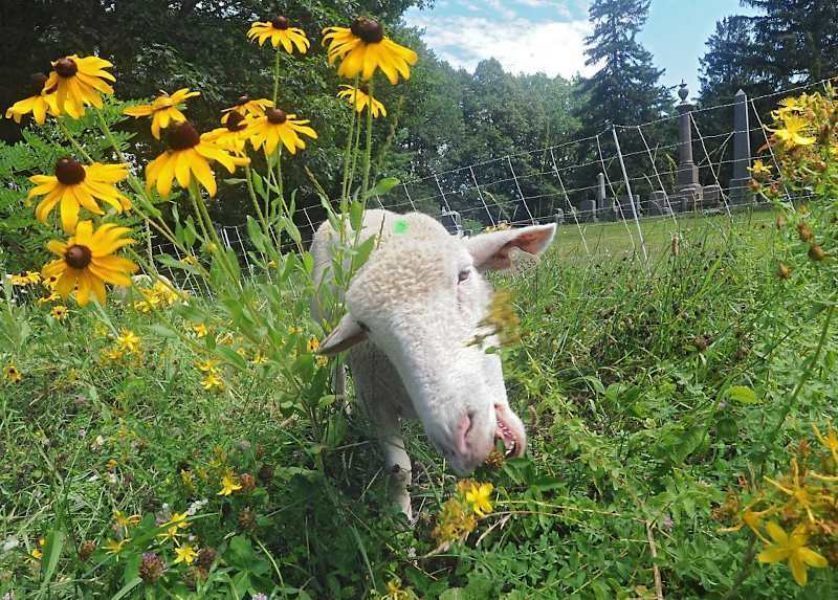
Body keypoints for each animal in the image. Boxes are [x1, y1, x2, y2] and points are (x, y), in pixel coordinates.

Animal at [312, 209, 556, 516]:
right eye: (366, 327)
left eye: (464, 275)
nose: (465, 441)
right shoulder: (374, 399)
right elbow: (399, 470)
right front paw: (402, 520)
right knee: (336, 369)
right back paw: (340, 406)